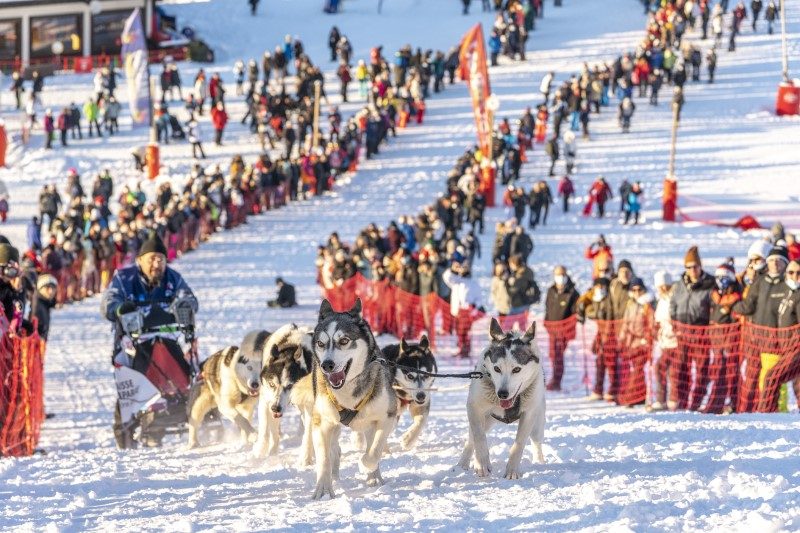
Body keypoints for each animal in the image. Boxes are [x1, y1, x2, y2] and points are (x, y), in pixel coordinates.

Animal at [253, 322, 312, 460]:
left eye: (290, 386)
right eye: (271, 384)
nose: (275, 408)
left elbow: (308, 434)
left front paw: (305, 459)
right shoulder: (266, 401)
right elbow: (265, 429)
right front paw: (262, 452)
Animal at [290, 300, 396, 498]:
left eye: (344, 341)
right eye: (321, 343)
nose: (327, 365)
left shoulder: (387, 416)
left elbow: (374, 450)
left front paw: (365, 466)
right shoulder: (322, 423)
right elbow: (324, 459)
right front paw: (323, 489)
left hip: (369, 421)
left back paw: (374, 478)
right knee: (333, 450)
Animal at [460, 318, 548, 480]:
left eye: (517, 369)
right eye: (496, 368)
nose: (502, 394)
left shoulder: (529, 415)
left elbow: (519, 444)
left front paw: (512, 471)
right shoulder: (474, 407)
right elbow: (479, 437)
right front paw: (482, 464)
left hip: (537, 423)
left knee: (536, 442)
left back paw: (539, 462)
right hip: (485, 419)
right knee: (471, 439)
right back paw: (461, 465)